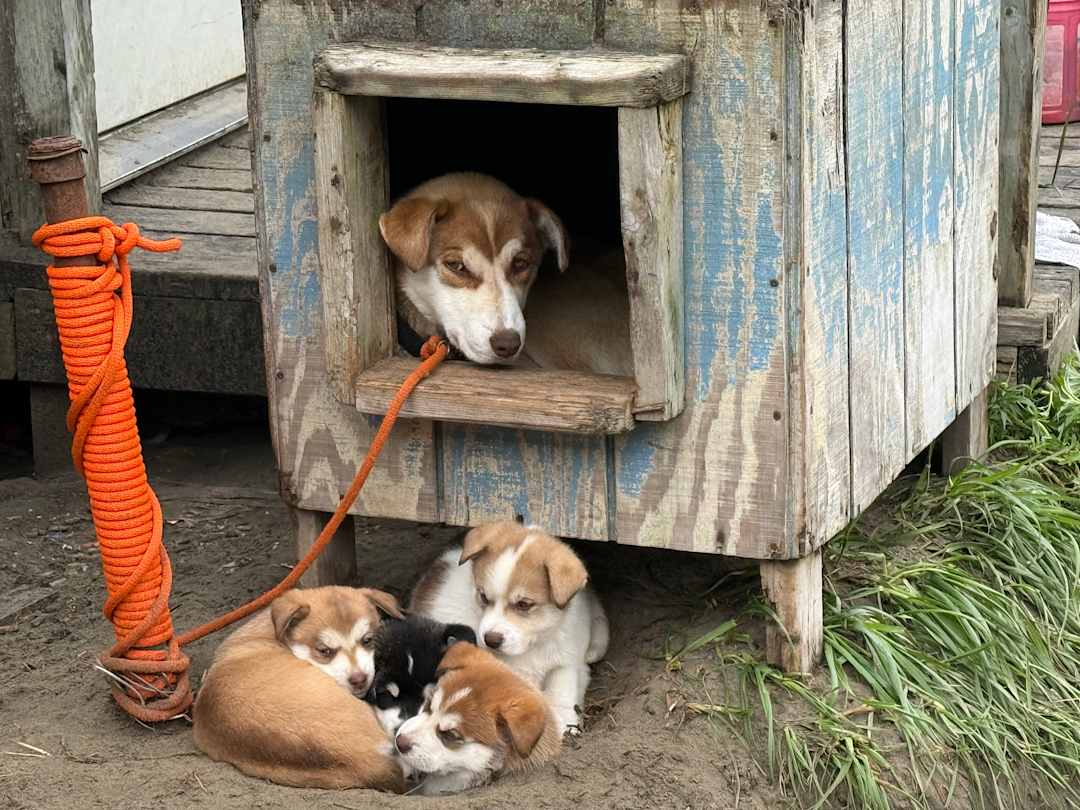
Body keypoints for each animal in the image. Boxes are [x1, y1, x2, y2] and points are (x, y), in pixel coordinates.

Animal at [409, 521, 609, 735]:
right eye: (483, 597)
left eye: (524, 604)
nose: (491, 640)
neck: (531, 647)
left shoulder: (565, 660)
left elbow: (562, 686)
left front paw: (565, 721)